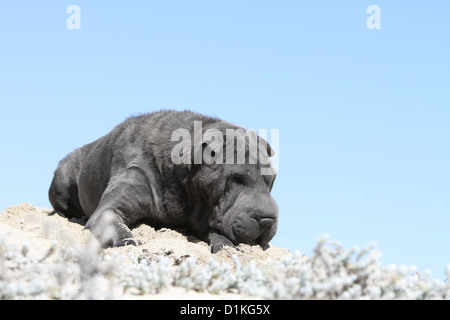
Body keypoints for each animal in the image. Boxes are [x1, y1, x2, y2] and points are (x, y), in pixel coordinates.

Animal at [48, 110, 278, 252]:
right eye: (237, 179)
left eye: (272, 181)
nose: (267, 220)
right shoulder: (110, 208)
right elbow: (118, 227)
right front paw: (128, 241)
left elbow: (218, 235)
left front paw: (225, 245)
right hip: (63, 175)